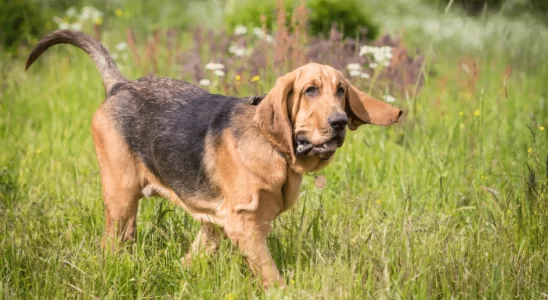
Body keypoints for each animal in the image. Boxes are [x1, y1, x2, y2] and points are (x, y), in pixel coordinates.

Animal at [26, 30, 402, 288]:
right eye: (310, 90)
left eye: (341, 90)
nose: (339, 123)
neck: (275, 149)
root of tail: (120, 86)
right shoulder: (245, 225)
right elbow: (272, 277)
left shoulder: (234, 222)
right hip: (121, 198)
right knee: (112, 244)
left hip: (186, 218)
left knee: (181, 253)